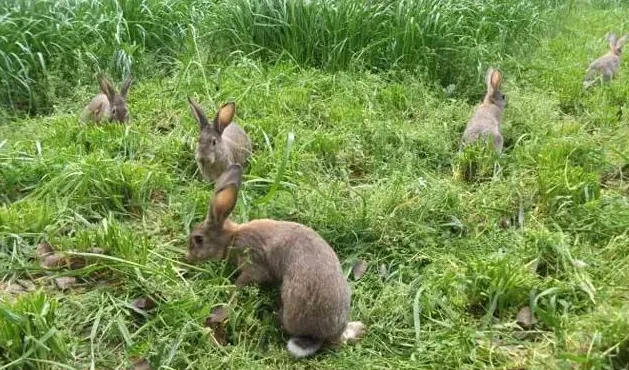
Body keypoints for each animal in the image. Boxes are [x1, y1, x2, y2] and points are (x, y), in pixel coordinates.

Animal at [184, 164, 366, 356]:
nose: (188, 257)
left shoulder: (252, 263)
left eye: (198, 239)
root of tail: (322, 336)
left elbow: (241, 284)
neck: (232, 237)